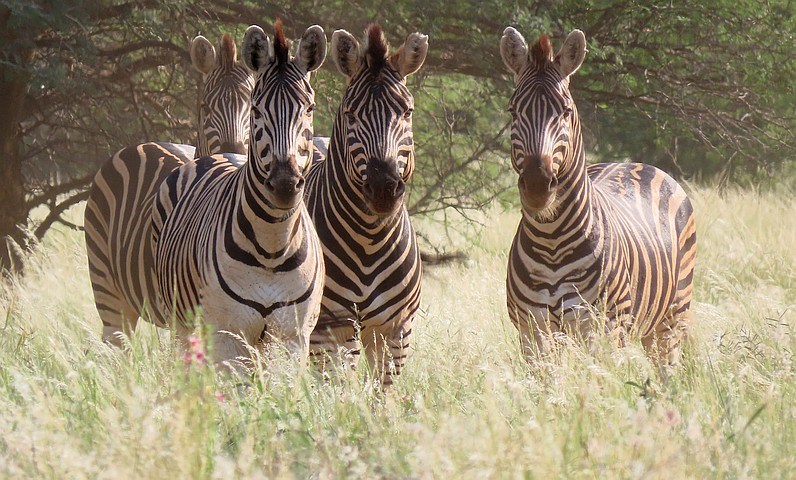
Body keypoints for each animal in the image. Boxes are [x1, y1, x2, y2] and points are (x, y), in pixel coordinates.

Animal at [153, 22, 327, 365]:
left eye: (309, 108)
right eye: (258, 110)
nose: (285, 184)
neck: (273, 245)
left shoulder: (293, 337)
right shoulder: (227, 334)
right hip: (183, 323)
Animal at [305, 24, 428, 387]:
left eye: (407, 112)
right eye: (351, 114)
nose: (383, 188)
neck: (369, 240)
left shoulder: (395, 327)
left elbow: (382, 390)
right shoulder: (331, 327)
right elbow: (337, 390)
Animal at [500, 27, 697, 366]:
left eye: (566, 112)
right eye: (513, 111)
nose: (538, 186)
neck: (550, 241)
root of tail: (633, 162)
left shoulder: (602, 328)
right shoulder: (532, 331)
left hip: (673, 316)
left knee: (667, 368)